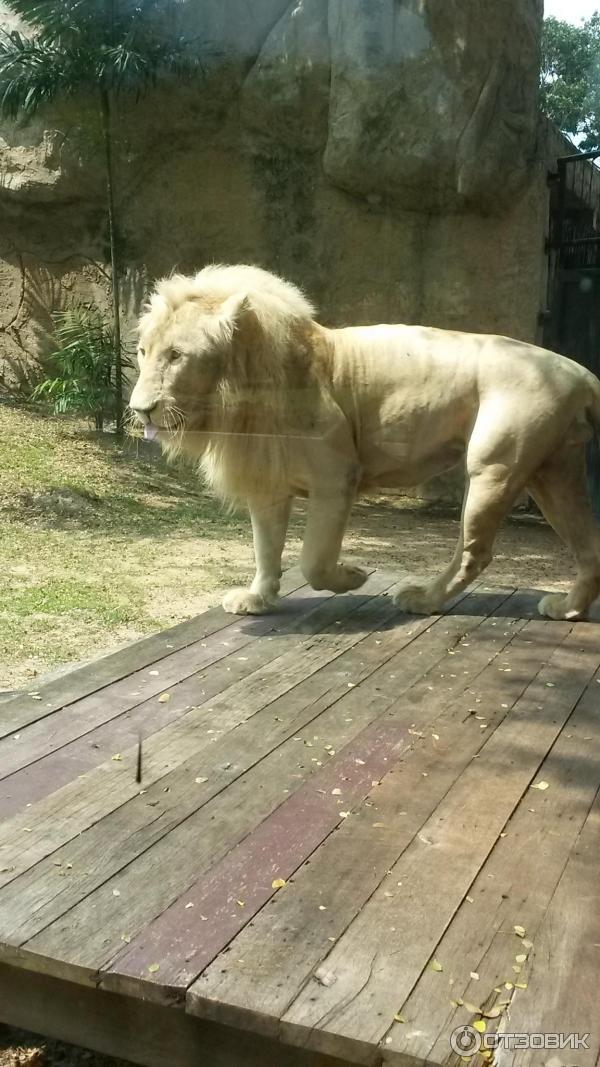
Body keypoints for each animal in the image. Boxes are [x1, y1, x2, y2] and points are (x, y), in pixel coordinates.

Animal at [129, 261, 597, 623]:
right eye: (142, 352)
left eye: (176, 356)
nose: (139, 409)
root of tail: (581, 373)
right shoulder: (268, 482)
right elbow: (266, 547)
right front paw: (258, 598)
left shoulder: (336, 476)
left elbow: (313, 560)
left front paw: (352, 577)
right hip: (553, 474)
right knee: (589, 546)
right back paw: (568, 609)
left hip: (493, 468)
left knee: (474, 552)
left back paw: (423, 599)